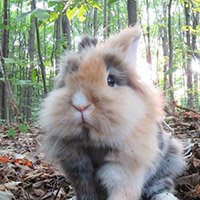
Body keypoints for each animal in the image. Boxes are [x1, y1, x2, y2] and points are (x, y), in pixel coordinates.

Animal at [39, 25, 186, 199]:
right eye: (68, 79)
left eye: (111, 81)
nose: (80, 105)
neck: (94, 143)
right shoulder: (78, 170)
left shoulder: (124, 171)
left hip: (168, 159)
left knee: (161, 184)